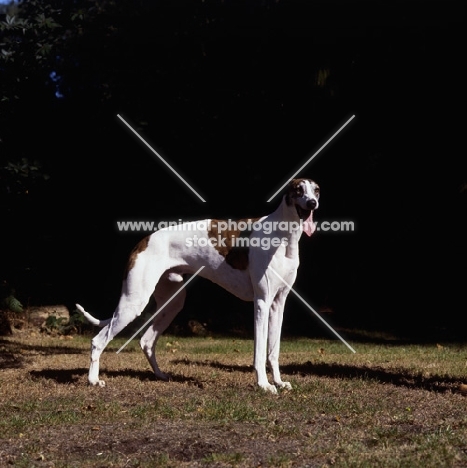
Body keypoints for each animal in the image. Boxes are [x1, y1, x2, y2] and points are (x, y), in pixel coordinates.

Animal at [77, 177, 320, 394]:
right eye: (298, 190)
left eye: (316, 190)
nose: (312, 203)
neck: (283, 236)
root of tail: (143, 241)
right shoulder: (262, 302)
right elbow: (260, 352)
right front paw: (264, 385)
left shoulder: (278, 304)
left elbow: (273, 350)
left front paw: (278, 382)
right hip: (134, 302)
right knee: (98, 340)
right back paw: (93, 380)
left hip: (172, 303)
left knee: (146, 341)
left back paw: (160, 375)